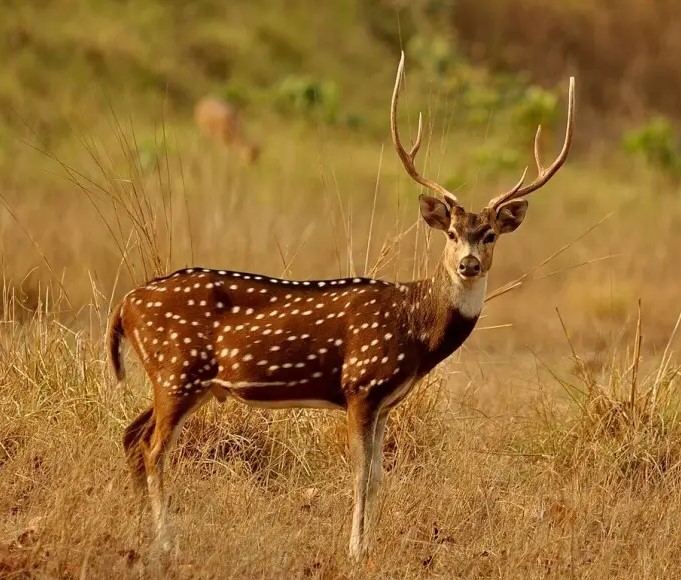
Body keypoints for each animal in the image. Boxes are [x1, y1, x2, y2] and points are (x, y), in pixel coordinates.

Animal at [107, 53, 572, 556]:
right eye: (451, 233)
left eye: (489, 235)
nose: (468, 264)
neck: (414, 327)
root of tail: (125, 305)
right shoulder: (361, 384)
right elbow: (359, 475)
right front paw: (355, 550)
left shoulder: (386, 401)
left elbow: (379, 477)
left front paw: (370, 545)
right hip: (178, 370)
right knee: (153, 448)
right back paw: (165, 543)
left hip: (181, 380)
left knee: (132, 435)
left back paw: (140, 530)